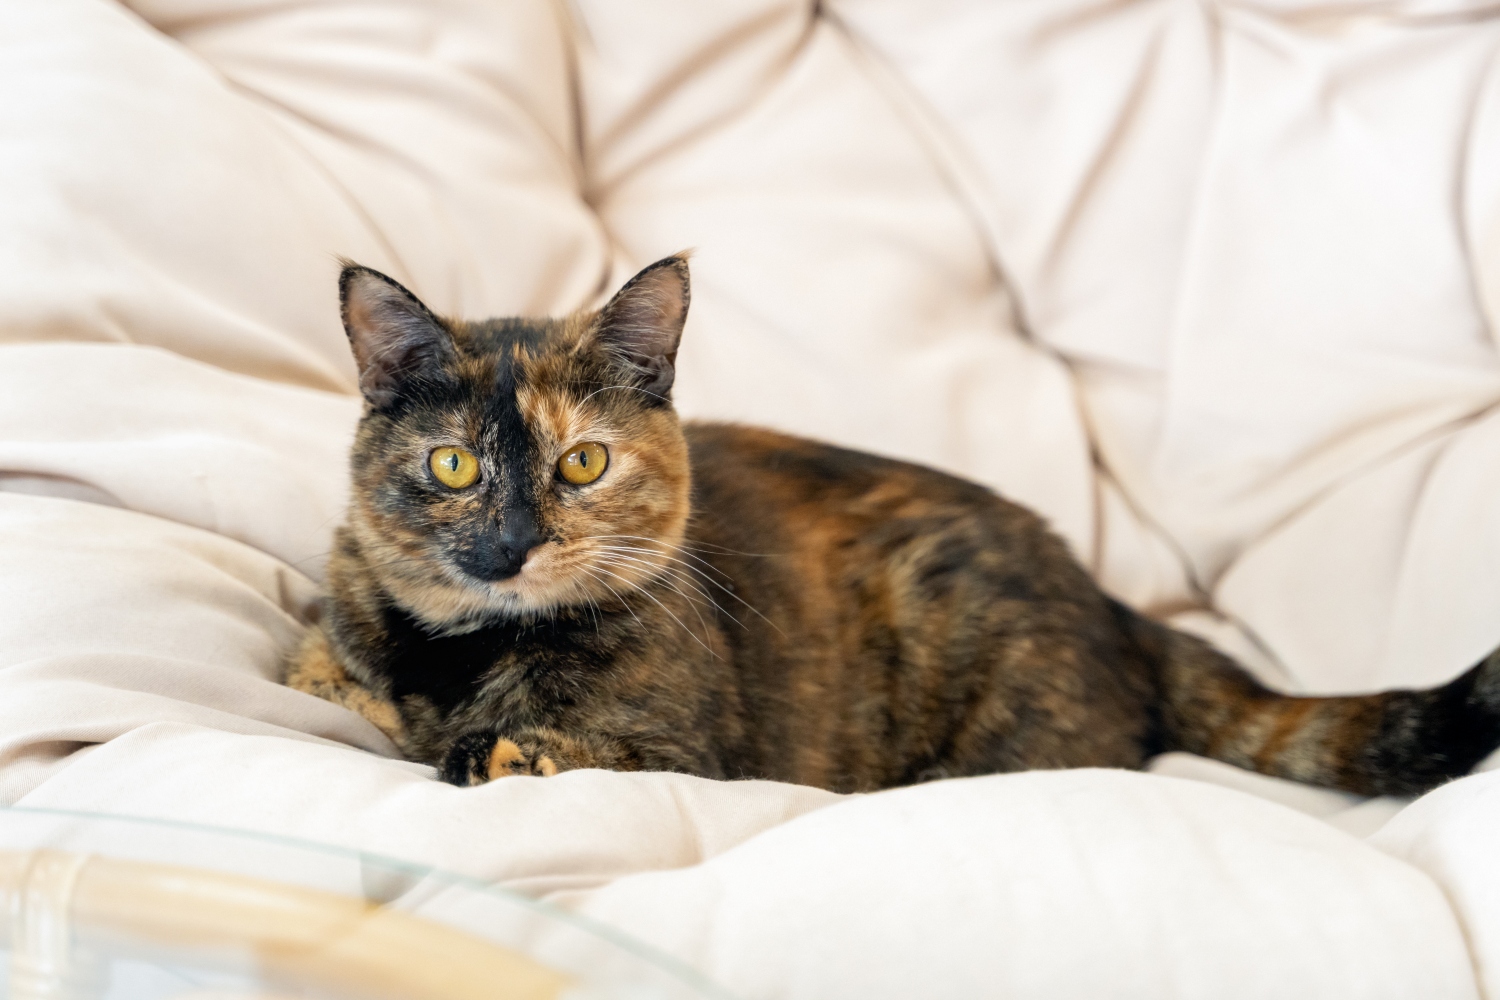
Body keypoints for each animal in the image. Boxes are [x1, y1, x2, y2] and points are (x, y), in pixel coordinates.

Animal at [286, 254, 1500, 791]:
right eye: (451, 463)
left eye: (583, 462)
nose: (508, 545)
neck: (467, 657)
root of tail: (1114, 604)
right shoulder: (328, 644)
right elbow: (331, 674)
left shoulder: (686, 758)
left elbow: (531, 750)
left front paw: (489, 745)